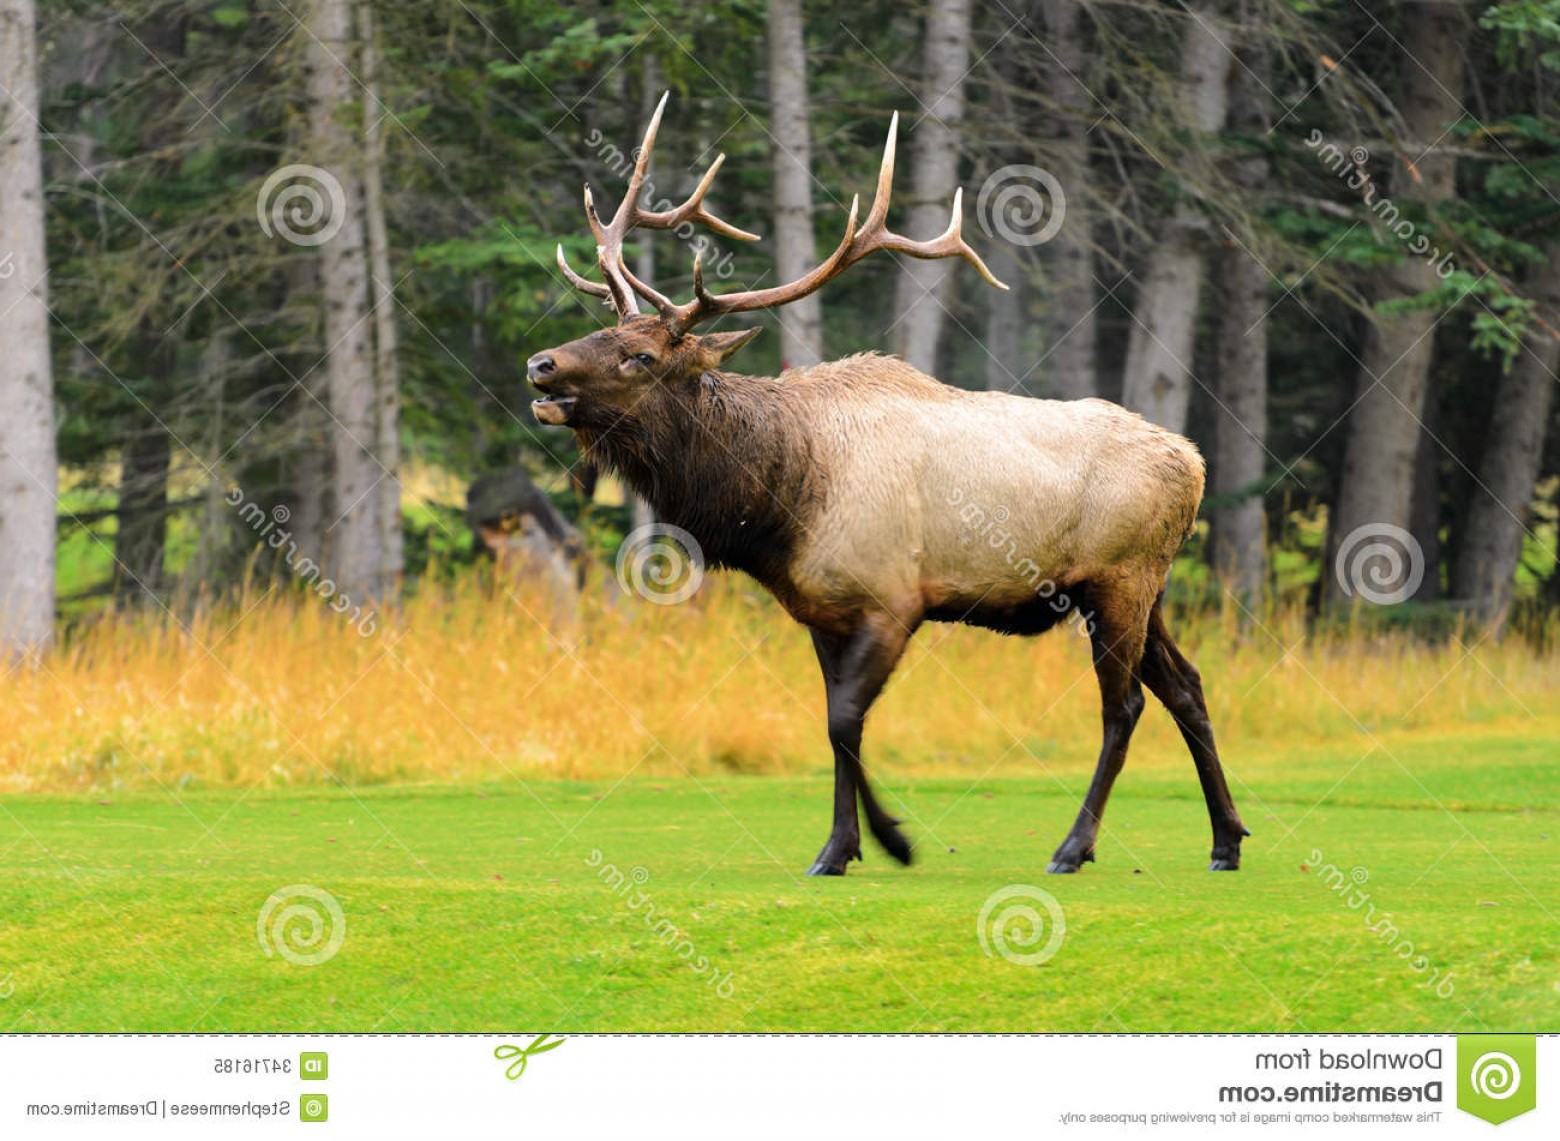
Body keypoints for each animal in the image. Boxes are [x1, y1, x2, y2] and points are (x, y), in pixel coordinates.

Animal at [528, 94, 1248, 877]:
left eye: (640, 355)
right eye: (602, 330)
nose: (540, 364)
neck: (781, 501)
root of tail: (1195, 464)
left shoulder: (894, 599)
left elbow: (846, 719)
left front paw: (893, 841)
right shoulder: (823, 611)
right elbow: (837, 724)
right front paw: (836, 850)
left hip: (1120, 578)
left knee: (1125, 707)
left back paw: (1073, 847)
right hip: (1143, 587)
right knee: (1188, 686)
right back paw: (1226, 839)